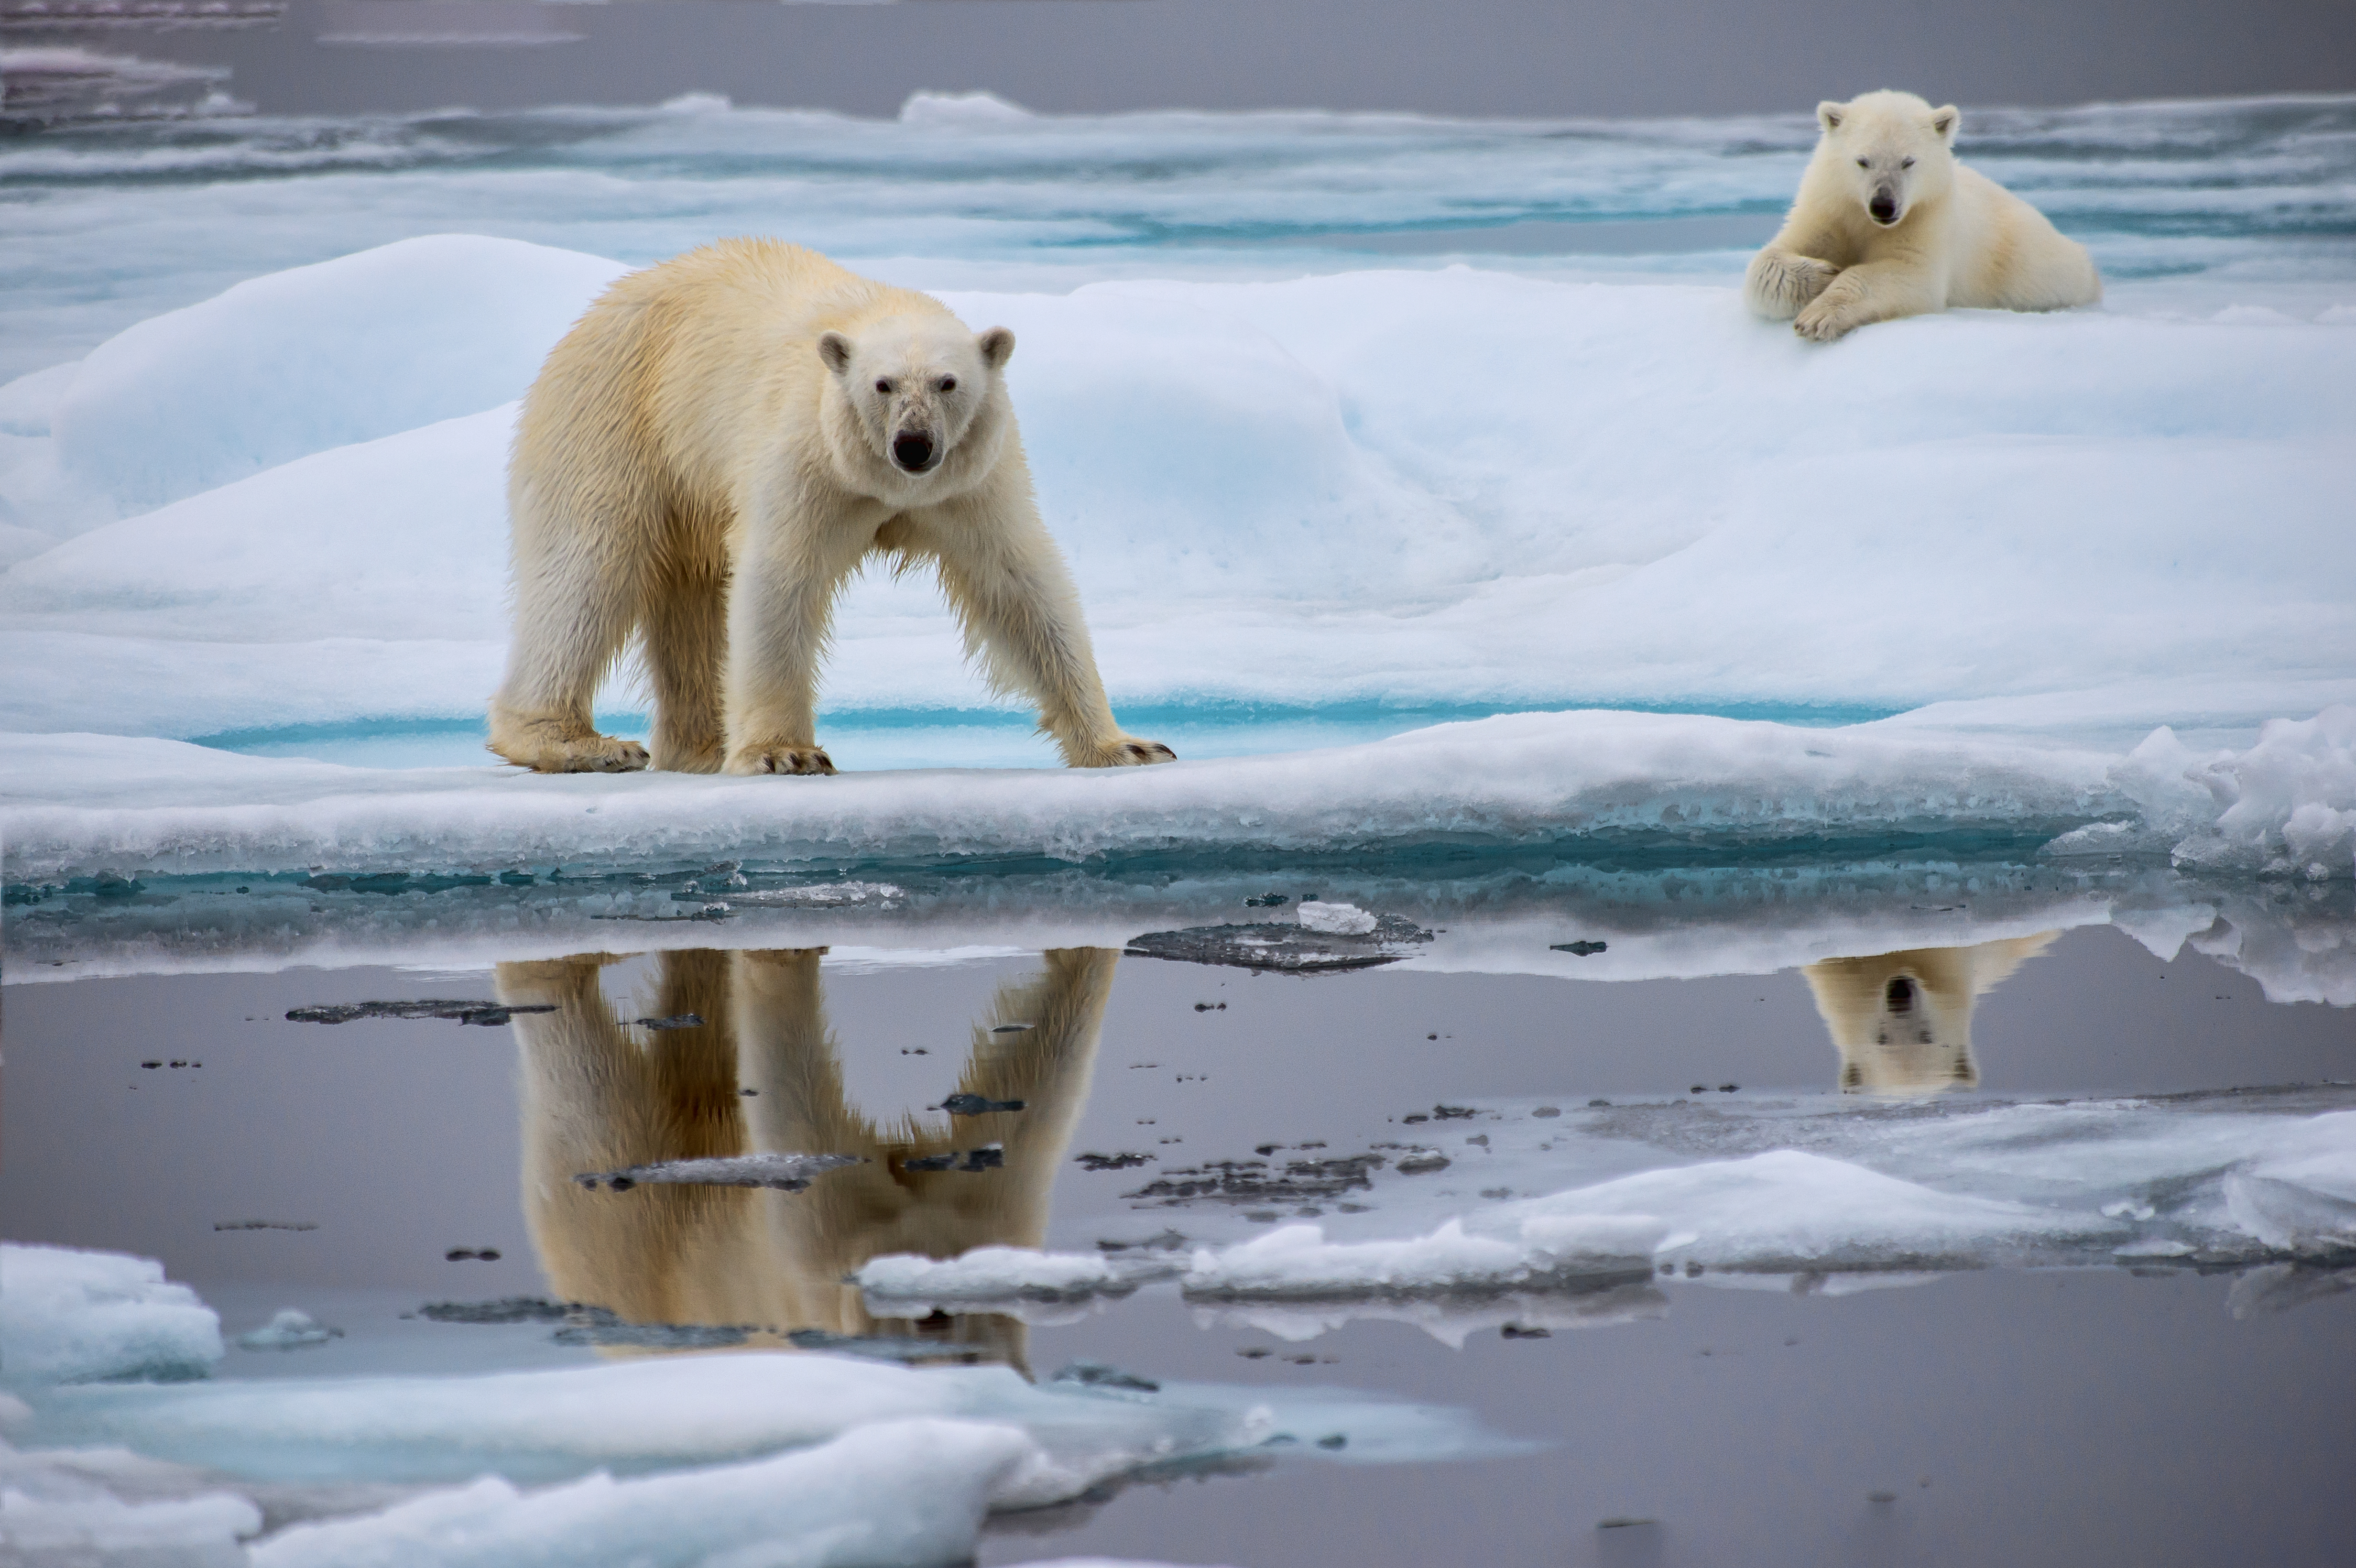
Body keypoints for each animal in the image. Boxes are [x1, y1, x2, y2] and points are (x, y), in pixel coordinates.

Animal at [490, 240, 1178, 777]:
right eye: (883, 385)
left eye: (947, 383)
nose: (913, 444)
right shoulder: (808, 459)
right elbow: (779, 575)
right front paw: (784, 753)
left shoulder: (972, 483)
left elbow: (1020, 584)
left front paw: (1127, 745)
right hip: (616, 418)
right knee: (588, 570)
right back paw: (581, 743)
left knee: (688, 601)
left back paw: (697, 745)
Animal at [1753, 90, 2101, 341]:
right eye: (1862, 161)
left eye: (1908, 162)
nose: (1883, 206)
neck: (1866, 220)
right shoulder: (1828, 208)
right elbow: (1769, 261)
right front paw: (1823, 275)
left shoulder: (1926, 216)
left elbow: (1911, 275)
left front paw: (1818, 315)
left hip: (2029, 263)